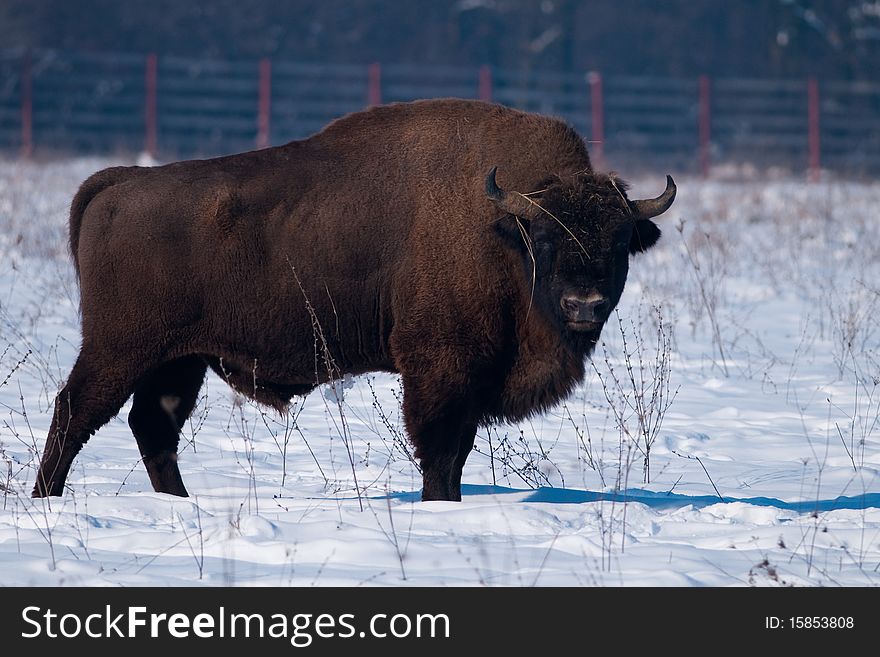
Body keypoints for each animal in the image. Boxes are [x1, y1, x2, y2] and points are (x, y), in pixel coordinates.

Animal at [34, 97, 676, 500]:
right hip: (120, 349)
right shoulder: (440, 371)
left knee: (152, 426)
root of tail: (118, 182)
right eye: (545, 237)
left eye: (620, 241)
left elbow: (456, 451)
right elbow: (440, 450)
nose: (584, 304)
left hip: (177, 359)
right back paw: (45, 499)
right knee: (75, 413)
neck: (501, 230)